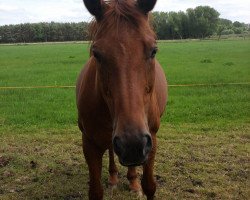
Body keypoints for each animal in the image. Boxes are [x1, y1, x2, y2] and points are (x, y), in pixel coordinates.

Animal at [75, 0, 167, 199]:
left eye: (153, 50)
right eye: (96, 54)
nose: (132, 143)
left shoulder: (152, 140)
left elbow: (150, 186)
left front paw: (138, 183)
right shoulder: (89, 144)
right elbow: (95, 191)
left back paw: (133, 181)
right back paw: (113, 177)